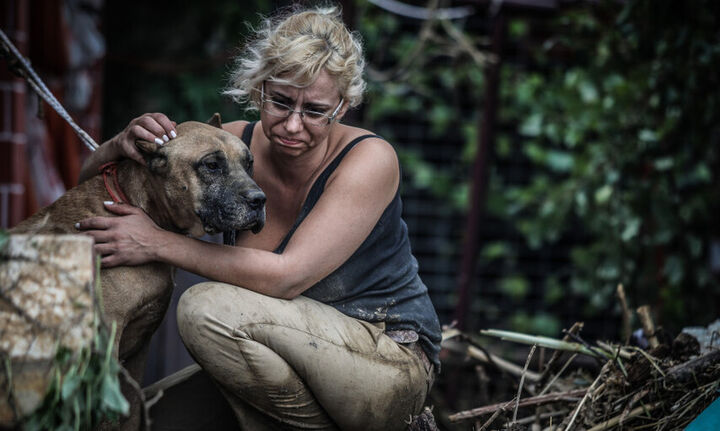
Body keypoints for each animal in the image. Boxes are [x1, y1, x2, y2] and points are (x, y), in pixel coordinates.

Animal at [9, 116, 264, 430]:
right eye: (212, 165)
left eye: (249, 163)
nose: (260, 200)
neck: (137, 206)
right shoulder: (106, 347)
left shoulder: (137, 353)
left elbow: (129, 412)